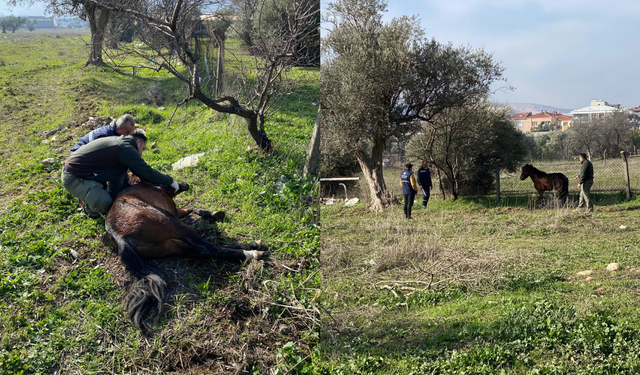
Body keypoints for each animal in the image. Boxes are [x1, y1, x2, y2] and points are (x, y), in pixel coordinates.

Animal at [105, 179, 264, 334]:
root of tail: (117, 235)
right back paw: (251, 251)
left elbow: (190, 208)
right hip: (171, 223)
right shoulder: (173, 213)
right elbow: (190, 209)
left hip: (170, 244)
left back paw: (250, 247)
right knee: (207, 248)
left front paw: (210, 213)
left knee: (198, 249)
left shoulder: (176, 213)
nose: (185, 184)